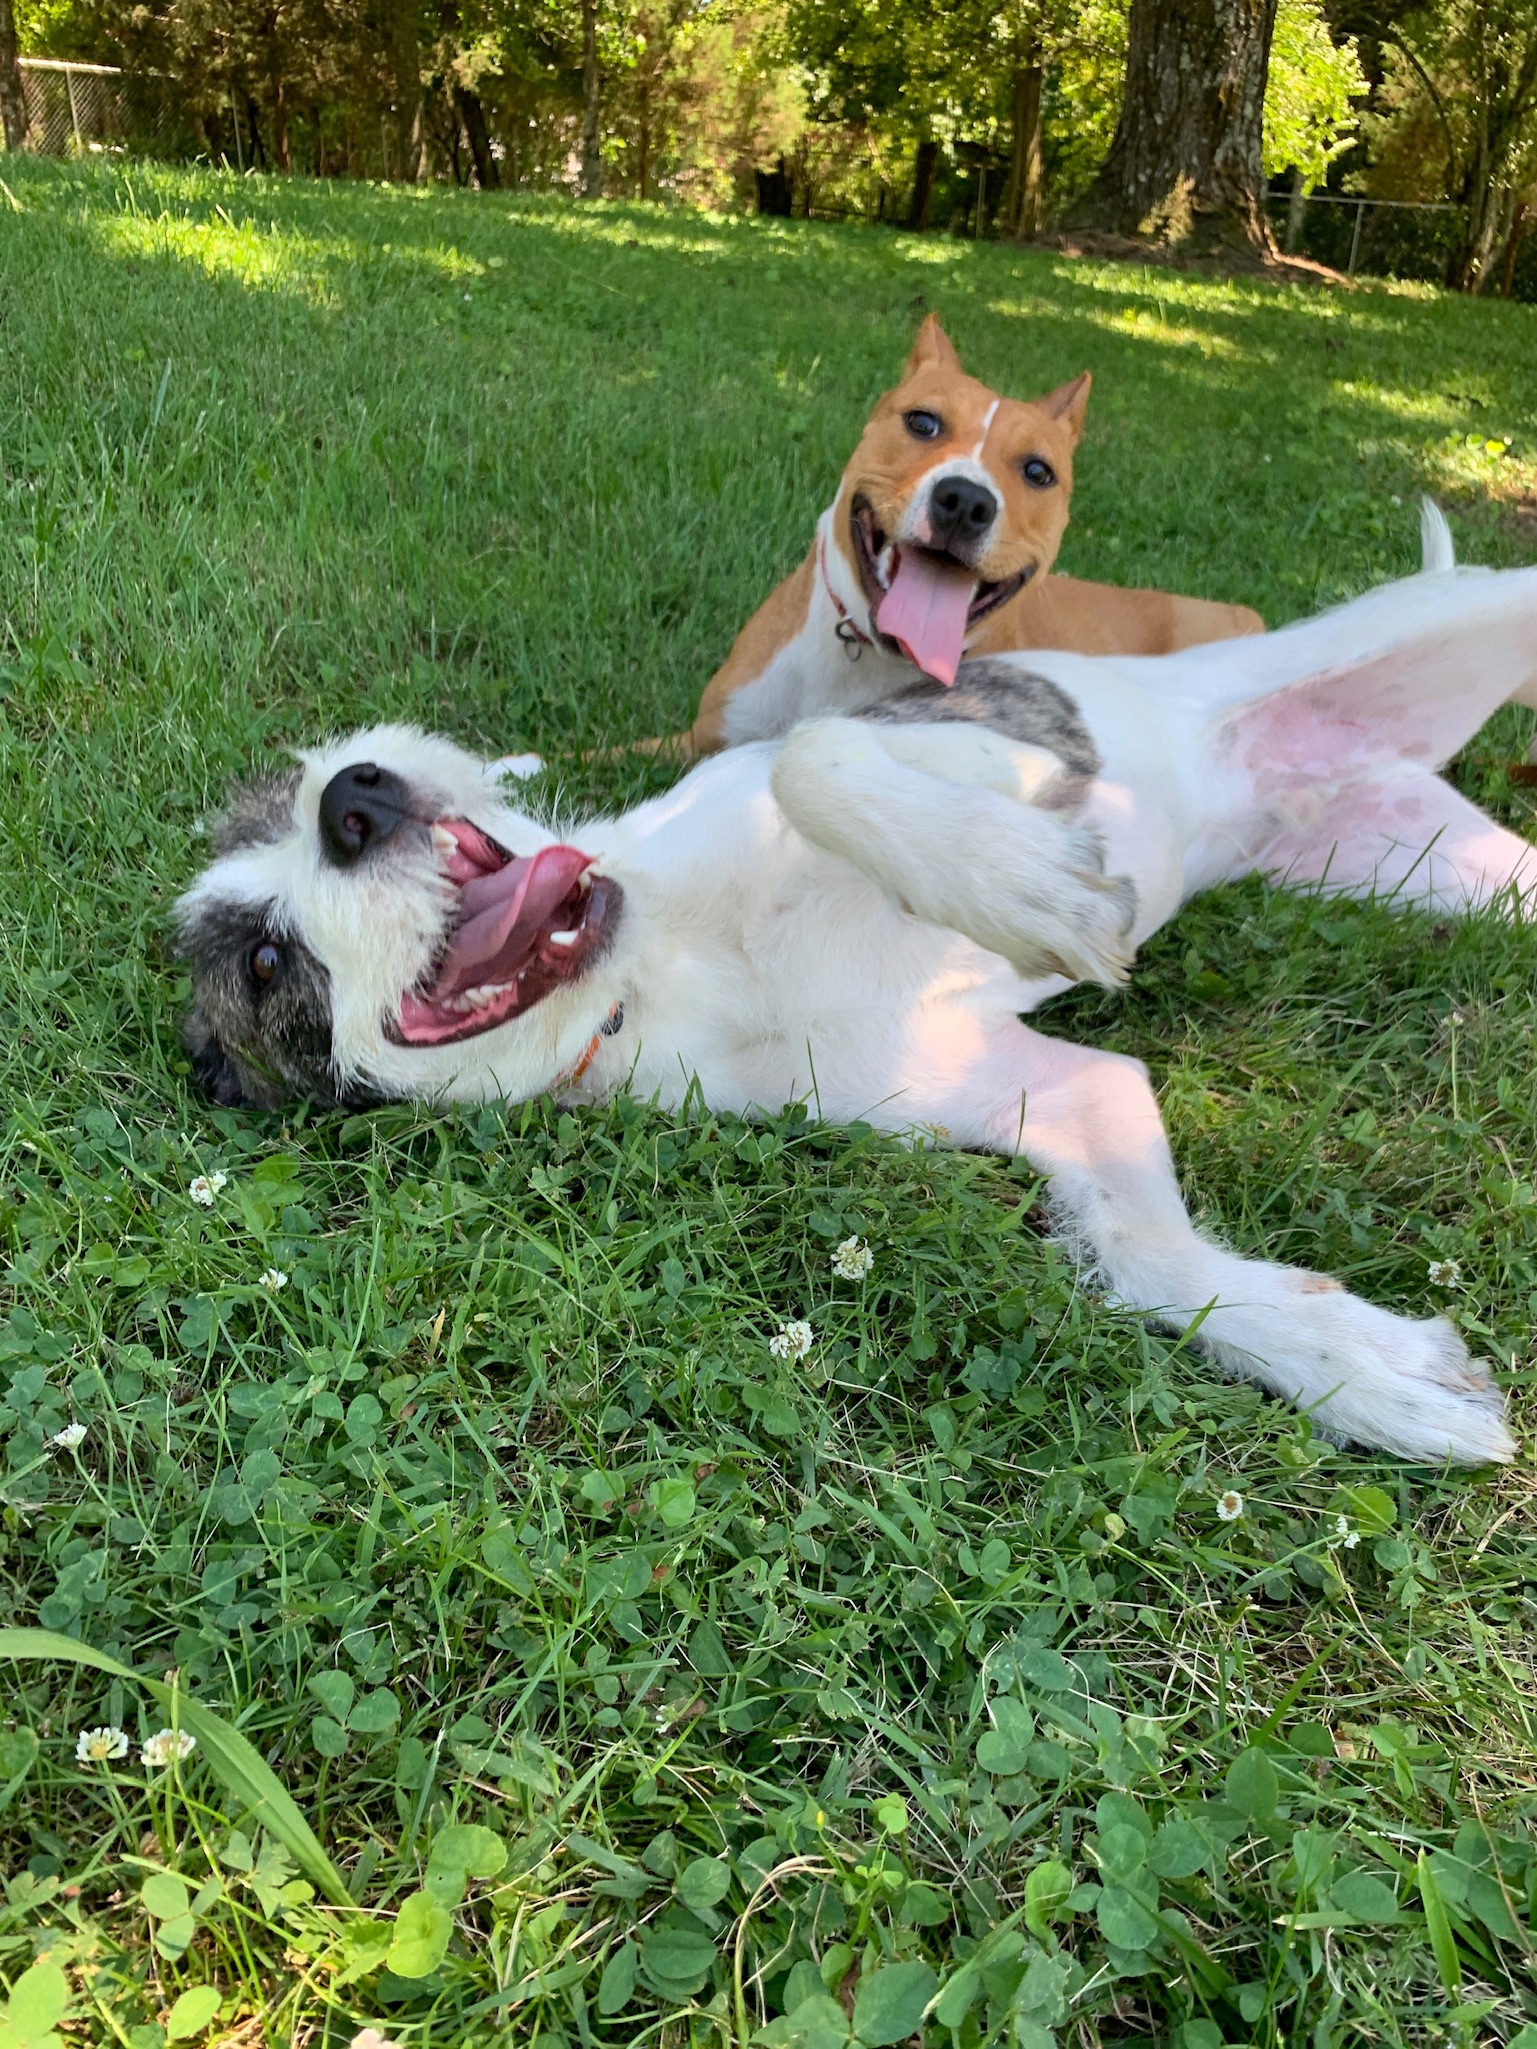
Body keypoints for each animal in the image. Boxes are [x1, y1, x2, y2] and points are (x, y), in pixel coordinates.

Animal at [177, 549, 1537, 1475]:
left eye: (296, 790)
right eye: (263, 962)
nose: (354, 797)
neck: (667, 962)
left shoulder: (986, 749)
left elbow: (812, 754)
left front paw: (1025, 884)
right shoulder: (1019, 1086)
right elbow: (1148, 1256)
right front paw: (1359, 1367)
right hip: (1457, 877)